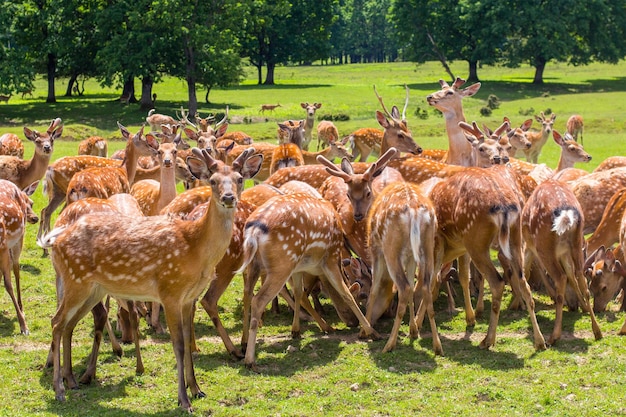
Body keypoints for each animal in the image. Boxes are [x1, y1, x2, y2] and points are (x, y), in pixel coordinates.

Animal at [43, 145, 264, 410]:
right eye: (212, 181)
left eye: (240, 179)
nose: (229, 198)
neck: (195, 246)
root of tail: (56, 240)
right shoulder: (170, 291)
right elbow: (178, 345)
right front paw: (183, 400)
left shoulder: (188, 297)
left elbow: (188, 340)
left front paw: (197, 389)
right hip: (75, 280)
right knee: (56, 321)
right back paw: (59, 389)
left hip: (92, 289)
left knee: (69, 324)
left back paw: (72, 380)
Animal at [520, 179, 604, 344]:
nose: (573, 306)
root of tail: (566, 214)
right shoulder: (564, 252)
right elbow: (572, 276)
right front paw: (584, 307)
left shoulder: (529, 245)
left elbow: (525, 271)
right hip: (575, 244)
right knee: (580, 278)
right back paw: (597, 331)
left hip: (544, 246)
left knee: (560, 277)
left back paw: (554, 336)